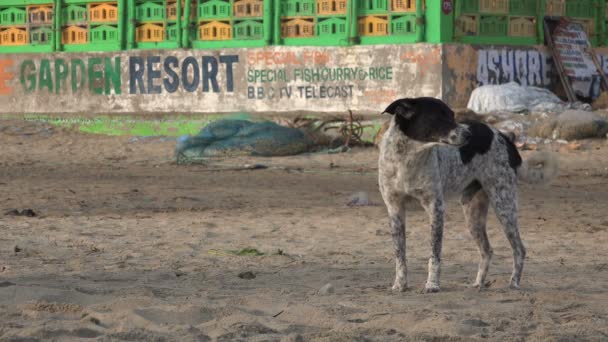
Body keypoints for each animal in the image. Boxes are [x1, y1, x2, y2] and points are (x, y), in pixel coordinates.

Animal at [378, 97, 560, 292]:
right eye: (439, 117)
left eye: (452, 115)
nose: (469, 135)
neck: (408, 159)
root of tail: (504, 137)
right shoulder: (395, 210)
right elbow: (400, 255)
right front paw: (400, 284)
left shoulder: (435, 208)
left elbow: (435, 253)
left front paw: (432, 284)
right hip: (473, 215)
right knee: (487, 250)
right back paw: (479, 283)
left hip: (504, 206)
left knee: (519, 249)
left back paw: (514, 283)